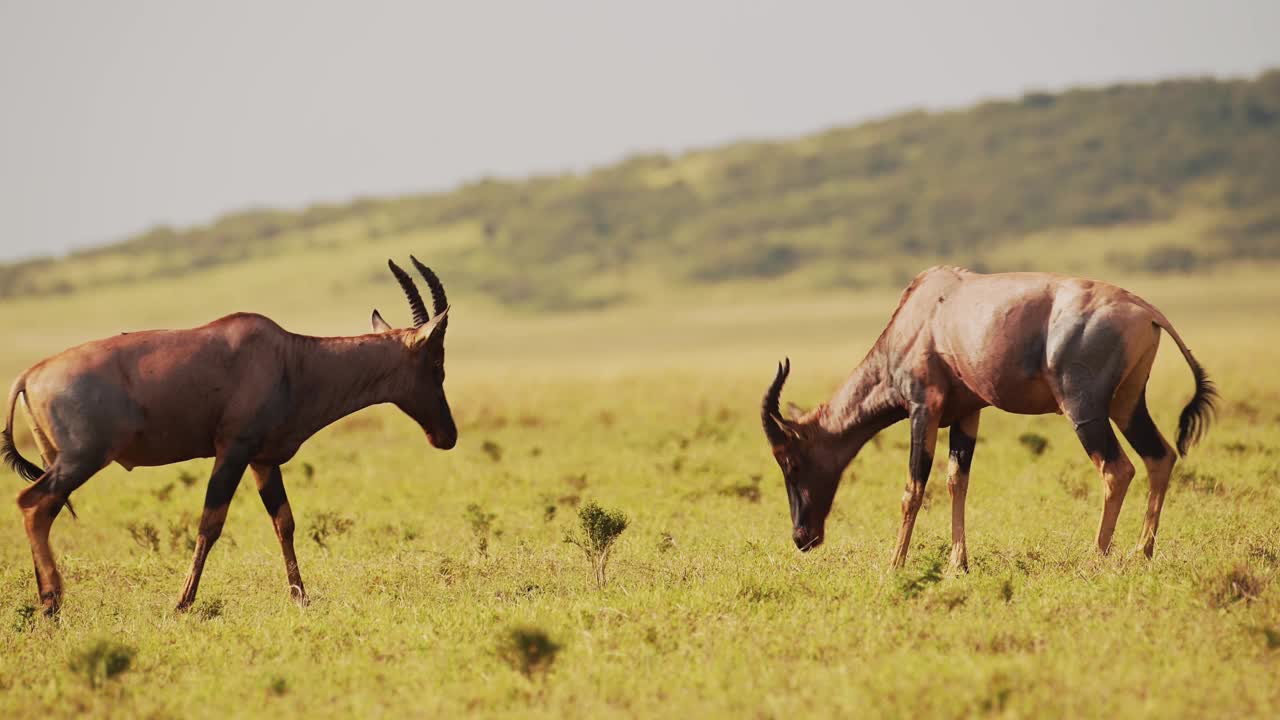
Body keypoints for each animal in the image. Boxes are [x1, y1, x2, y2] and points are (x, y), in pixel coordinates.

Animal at [0, 254, 458, 607]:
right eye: (435, 361)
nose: (446, 436)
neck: (291, 357)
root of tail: (30, 375)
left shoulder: (262, 460)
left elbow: (284, 522)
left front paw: (301, 598)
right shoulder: (232, 451)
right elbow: (210, 524)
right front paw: (183, 603)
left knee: (42, 511)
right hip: (81, 460)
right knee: (31, 504)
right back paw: (51, 604)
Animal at [757, 265, 1218, 566]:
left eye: (790, 460)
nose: (802, 537)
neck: (923, 311)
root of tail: (1146, 310)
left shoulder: (924, 408)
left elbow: (913, 489)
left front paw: (893, 566)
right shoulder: (967, 414)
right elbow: (955, 482)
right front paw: (957, 566)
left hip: (1084, 409)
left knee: (1117, 469)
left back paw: (1096, 559)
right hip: (1127, 404)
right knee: (1160, 456)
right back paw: (1142, 554)